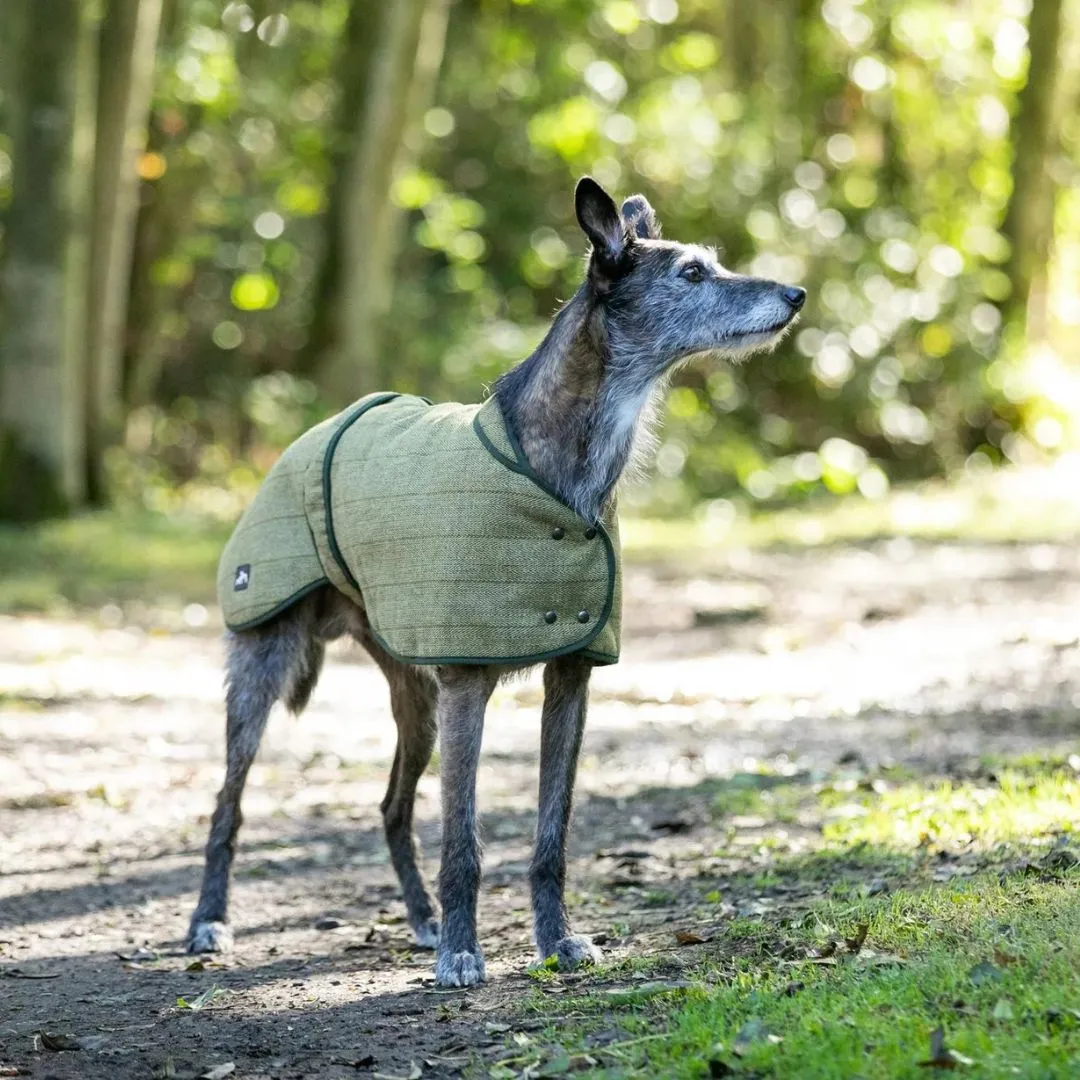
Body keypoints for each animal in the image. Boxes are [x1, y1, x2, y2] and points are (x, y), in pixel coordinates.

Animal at [190, 174, 807, 989]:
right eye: (693, 273)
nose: (797, 293)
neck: (553, 471)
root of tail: (302, 441)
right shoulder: (466, 687)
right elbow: (464, 841)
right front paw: (462, 951)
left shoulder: (569, 681)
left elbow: (551, 837)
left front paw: (556, 940)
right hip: (266, 665)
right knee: (227, 804)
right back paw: (210, 921)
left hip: (414, 699)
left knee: (391, 807)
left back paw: (419, 919)